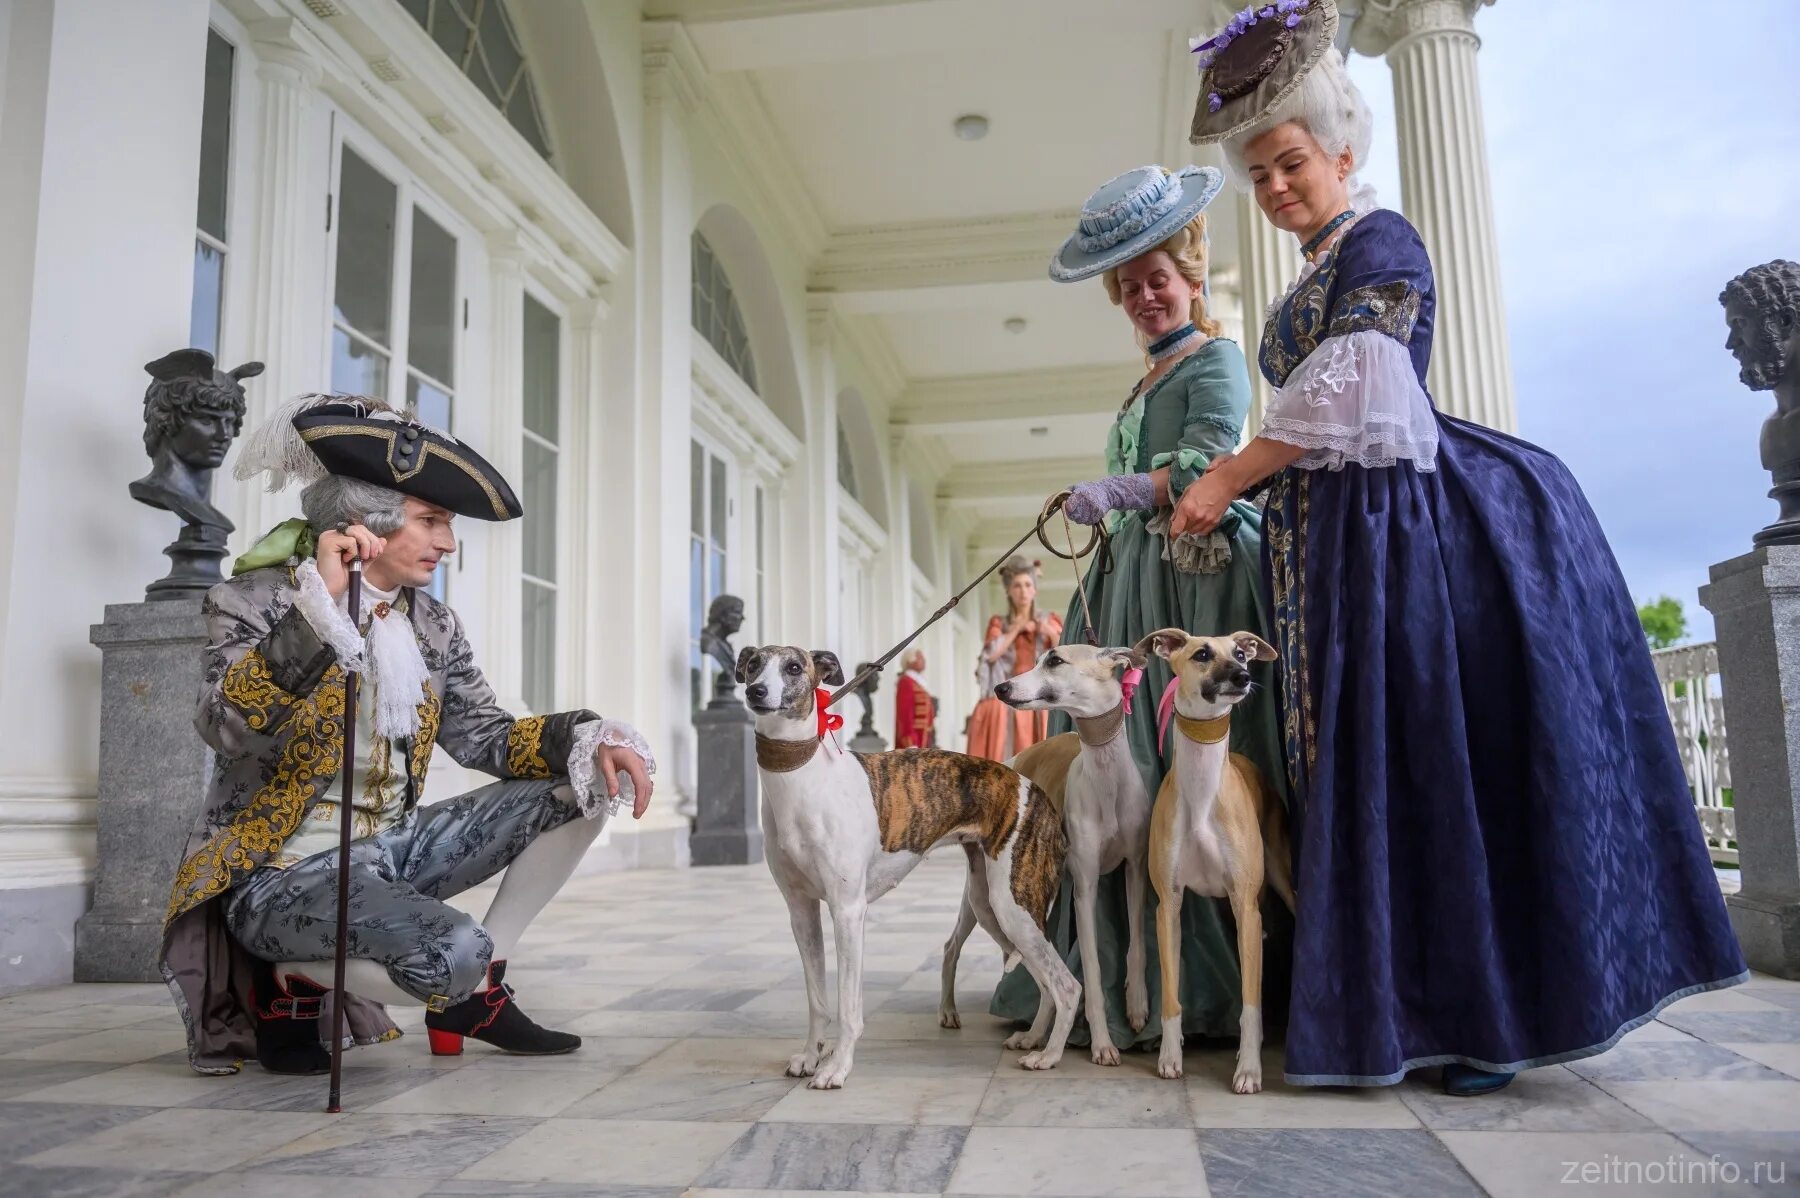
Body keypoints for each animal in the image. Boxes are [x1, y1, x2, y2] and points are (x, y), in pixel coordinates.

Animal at [734, 643, 1072, 1079]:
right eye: (753, 664)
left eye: (794, 667)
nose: (756, 692)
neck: (802, 779)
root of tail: (1038, 792)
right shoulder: (801, 911)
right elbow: (817, 1000)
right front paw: (810, 1056)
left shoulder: (848, 911)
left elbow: (848, 1006)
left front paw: (836, 1068)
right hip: (990, 907)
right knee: (1046, 981)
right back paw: (1033, 1039)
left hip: (1013, 907)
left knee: (1068, 984)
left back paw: (1050, 1055)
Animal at [936, 643, 1144, 1064]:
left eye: (1055, 660)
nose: (1000, 687)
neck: (1107, 778)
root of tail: (1014, 760)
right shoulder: (1085, 888)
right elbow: (1092, 970)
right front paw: (1103, 1043)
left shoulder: (1136, 869)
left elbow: (1137, 941)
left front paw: (1137, 1004)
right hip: (989, 900)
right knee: (955, 947)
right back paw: (963, 1015)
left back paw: (1034, 1036)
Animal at [1137, 629, 1296, 1086]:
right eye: (1201, 654)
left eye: (1241, 653)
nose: (1243, 677)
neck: (1202, 793)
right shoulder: (1168, 906)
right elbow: (1171, 996)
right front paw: (1170, 1056)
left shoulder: (1245, 905)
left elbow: (1250, 1002)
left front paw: (1249, 1069)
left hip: (1276, 884)